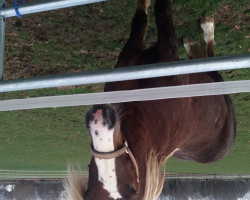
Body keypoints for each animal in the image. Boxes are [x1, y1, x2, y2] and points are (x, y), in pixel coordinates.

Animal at [65, 0, 236, 199]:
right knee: (210, 65)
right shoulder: (166, 50)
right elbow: (159, 13)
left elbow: (143, 17)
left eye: (132, 188)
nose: (100, 119)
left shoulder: (137, 49)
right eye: (90, 188)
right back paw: (200, 35)